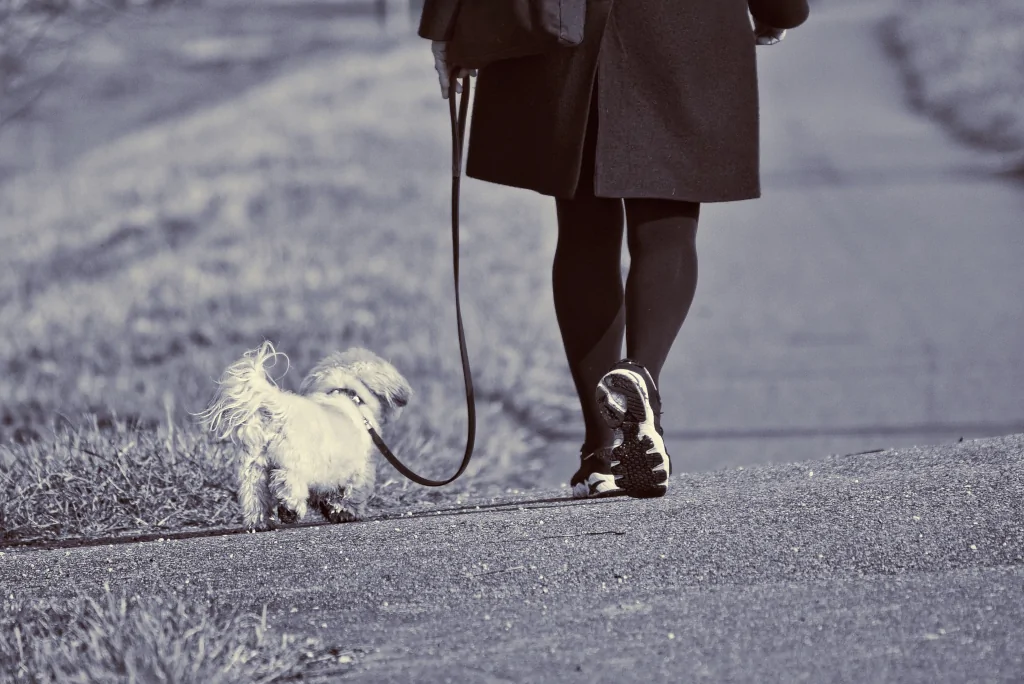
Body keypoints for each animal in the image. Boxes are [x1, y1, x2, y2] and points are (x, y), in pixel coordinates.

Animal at [196, 339, 411, 528]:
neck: (347, 394)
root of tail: (279, 411)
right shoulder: (360, 471)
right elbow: (352, 494)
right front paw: (346, 513)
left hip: (254, 468)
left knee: (254, 495)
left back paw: (259, 522)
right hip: (294, 462)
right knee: (288, 484)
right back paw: (290, 511)